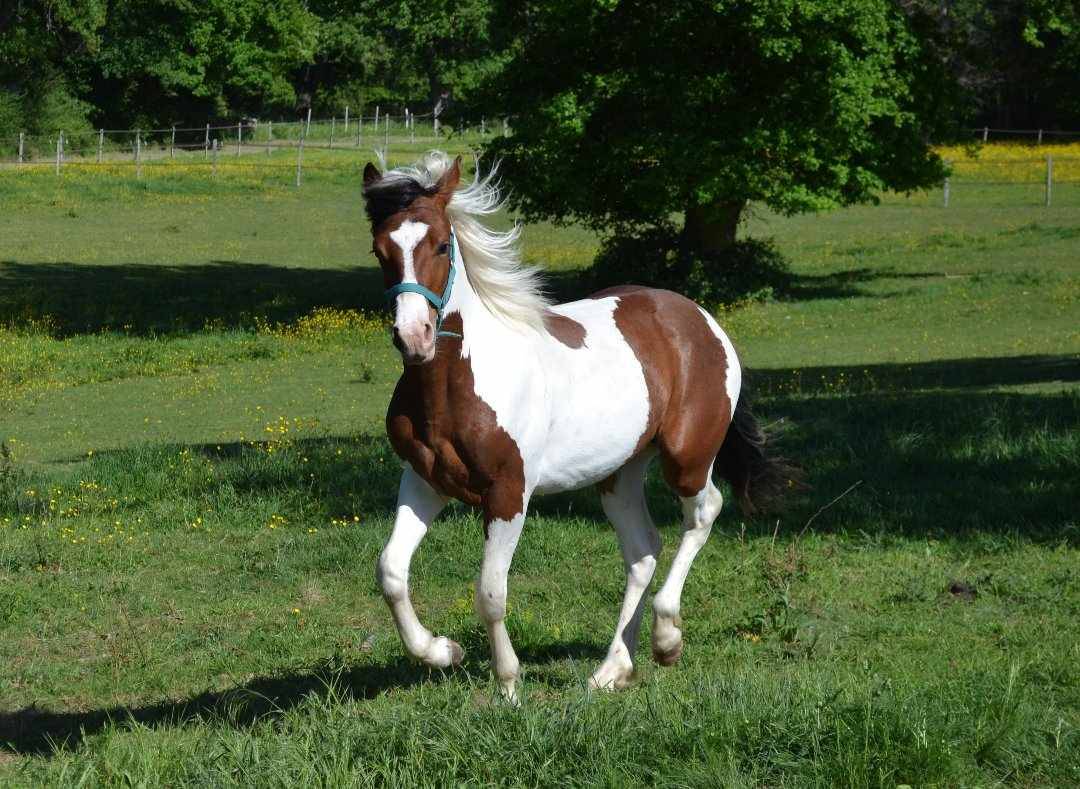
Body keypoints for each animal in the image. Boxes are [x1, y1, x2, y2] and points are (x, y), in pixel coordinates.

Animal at [362, 151, 795, 700]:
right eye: (380, 250)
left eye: (440, 243)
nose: (413, 337)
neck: (456, 385)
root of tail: (700, 318)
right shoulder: (425, 482)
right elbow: (391, 572)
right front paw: (442, 651)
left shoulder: (509, 494)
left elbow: (490, 592)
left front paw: (509, 686)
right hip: (619, 472)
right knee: (642, 551)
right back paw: (612, 669)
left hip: (686, 457)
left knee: (704, 512)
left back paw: (666, 639)